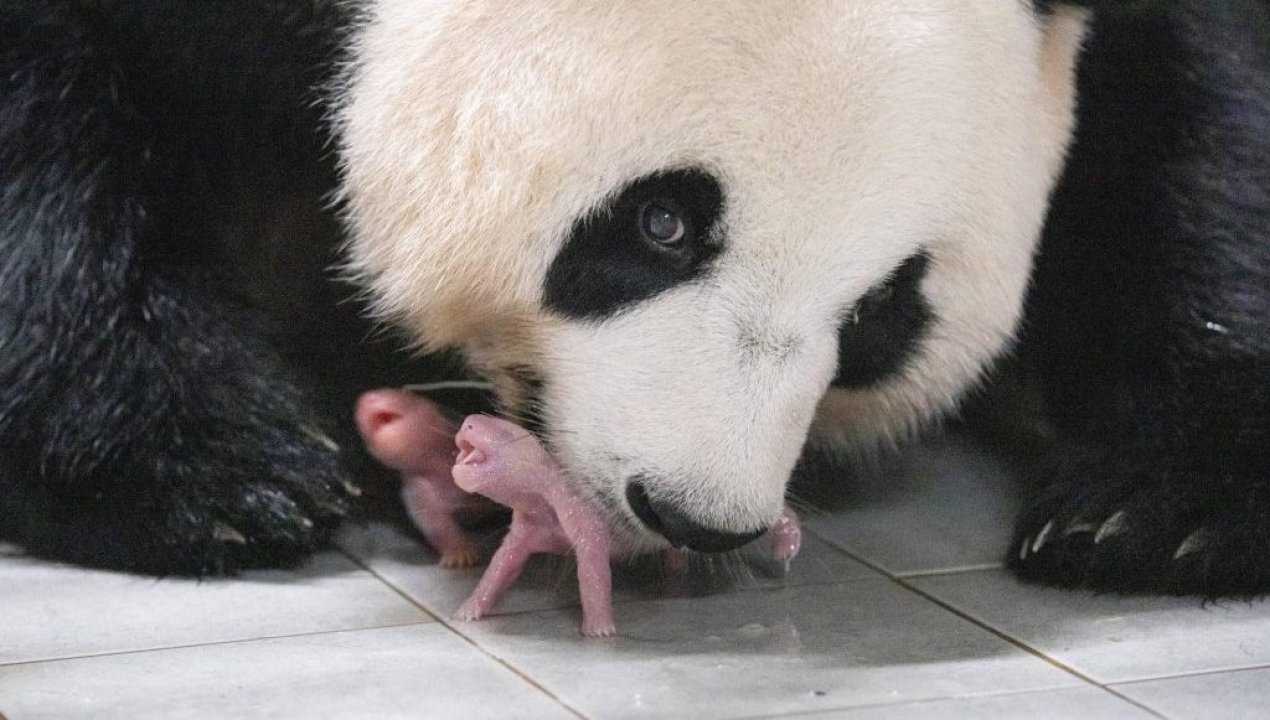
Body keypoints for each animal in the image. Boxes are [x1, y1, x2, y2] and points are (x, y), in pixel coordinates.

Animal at [2, 1, 1267, 596]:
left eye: (881, 315)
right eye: (661, 223)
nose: (696, 513)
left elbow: (1196, 124)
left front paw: (1157, 508)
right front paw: (206, 470)